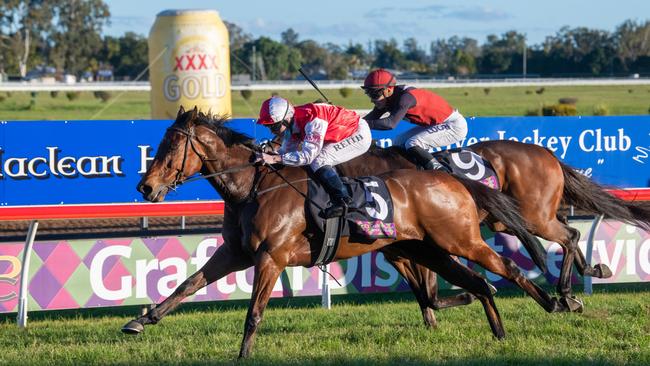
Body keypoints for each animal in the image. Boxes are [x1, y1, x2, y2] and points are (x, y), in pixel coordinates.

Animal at [121, 107, 568, 358]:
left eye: (171, 146)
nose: (145, 187)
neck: (253, 187)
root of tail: (452, 179)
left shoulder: (271, 257)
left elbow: (254, 313)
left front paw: (244, 354)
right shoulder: (235, 253)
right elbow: (186, 286)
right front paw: (140, 321)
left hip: (460, 240)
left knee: (508, 268)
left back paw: (558, 302)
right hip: (427, 249)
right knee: (478, 282)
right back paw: (500, 331)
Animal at [340, 141, 648, 326]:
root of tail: (544, 152)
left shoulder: (423, 244)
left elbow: (430, 292)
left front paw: (474, 293)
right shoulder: (397, 253)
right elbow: (425, 296)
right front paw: (436, 319)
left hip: (534, 217)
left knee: (569, 235)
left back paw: (566, 293)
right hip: (518, 217)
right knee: (567, 230)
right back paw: (592, 271)